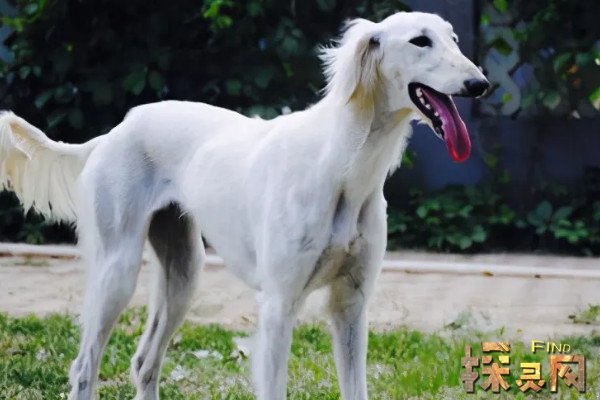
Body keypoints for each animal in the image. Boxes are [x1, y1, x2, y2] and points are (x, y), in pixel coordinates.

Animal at [0, 11, 488, 400]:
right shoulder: (277, 305)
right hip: (116, 270)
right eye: (420, 40)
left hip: (184, 274)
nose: (480, 84)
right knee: (85, 367)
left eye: (454, 38)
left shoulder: (350, 304)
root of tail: (114, 131)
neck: (342, 165)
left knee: (144, 363)